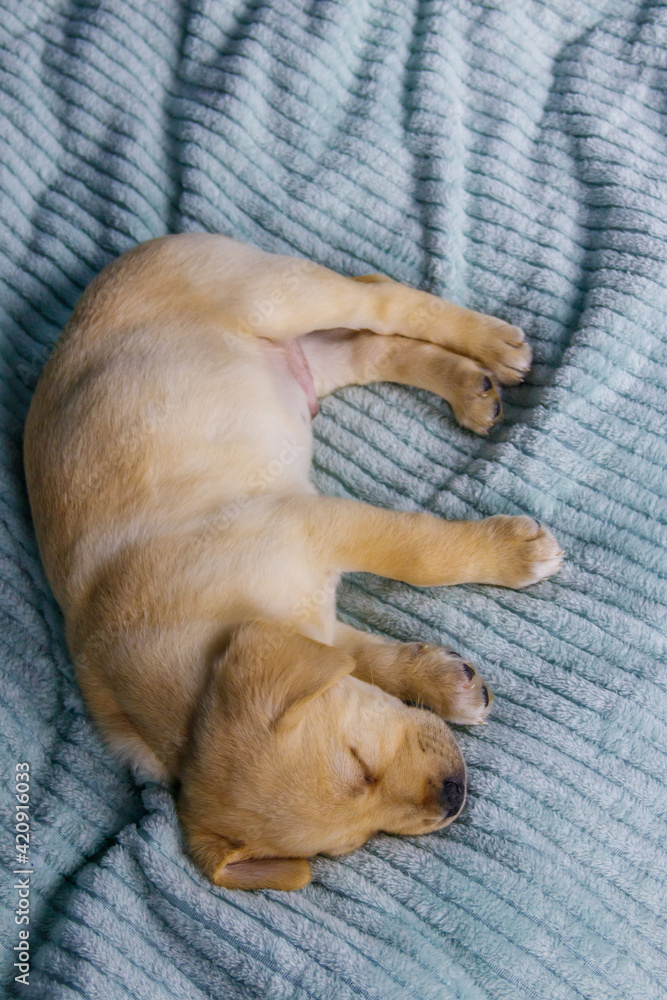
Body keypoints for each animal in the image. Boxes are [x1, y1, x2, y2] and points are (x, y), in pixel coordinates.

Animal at [22, 234, 564, 892]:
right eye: (354, 840)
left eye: (359, 760)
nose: (454, 797)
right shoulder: (319, 623)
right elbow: (377, 661)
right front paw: (442, 681)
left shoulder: (317, 523)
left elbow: (419, 554)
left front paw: (516, 554)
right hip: (303, 364)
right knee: (368, 345)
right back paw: (468, 386)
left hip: (283, 295)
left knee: (381, 298)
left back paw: (494, 344)